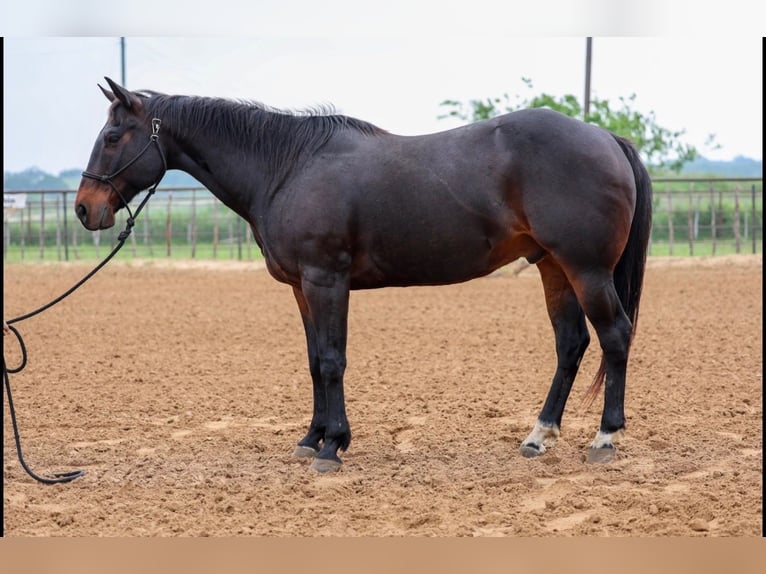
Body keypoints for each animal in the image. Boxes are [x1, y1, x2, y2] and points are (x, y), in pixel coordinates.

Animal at [75, 77, 652, 473]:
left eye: (113, 135)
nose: (84, 209)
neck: (288, 166)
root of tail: (605, 137)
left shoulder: (326, 280)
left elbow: (333, 361)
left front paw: (333, 446)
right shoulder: (302, 288)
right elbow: (314, 362)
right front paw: (311, 438)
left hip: (586, 268)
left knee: (615, 335)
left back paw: (605, 437)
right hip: (553, 266)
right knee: (571, 343)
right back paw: (539, 435)